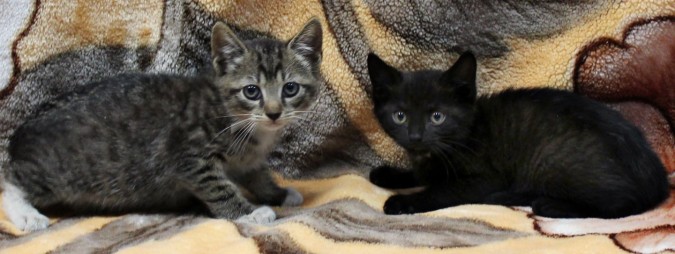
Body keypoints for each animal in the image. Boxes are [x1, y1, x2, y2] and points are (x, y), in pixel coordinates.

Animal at [1, 18, 324, 231]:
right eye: (252, 91)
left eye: (290, 89)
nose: (273, 113)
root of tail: (22, 132)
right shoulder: (188, 155)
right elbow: (219, 187)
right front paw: (248, 213)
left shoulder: (248, 159)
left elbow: (257, 175)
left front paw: (278, 193)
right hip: (54, 174)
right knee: (10, 182)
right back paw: (27, 215)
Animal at [370, 52, 672, 218]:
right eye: (400, 116)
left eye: (437, 117)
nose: (415, 136)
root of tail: (657, 179)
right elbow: (421, 176)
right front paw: (387, 174)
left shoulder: (484, 178)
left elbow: (440, 190)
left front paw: (402, 201)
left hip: (553, 158)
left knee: (621, 205)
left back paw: (545, 204)